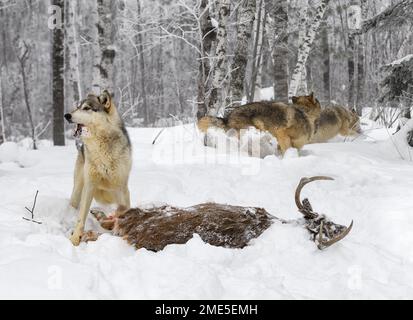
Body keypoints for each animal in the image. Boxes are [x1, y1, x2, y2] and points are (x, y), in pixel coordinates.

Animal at [63, 91, 131, 246]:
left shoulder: (121, 188)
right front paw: (75, 239)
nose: (67, 115)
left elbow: (122, 211)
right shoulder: (89, 185)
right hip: (78, 189)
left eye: (87, 108)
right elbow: (81, 217)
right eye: (78, 107)